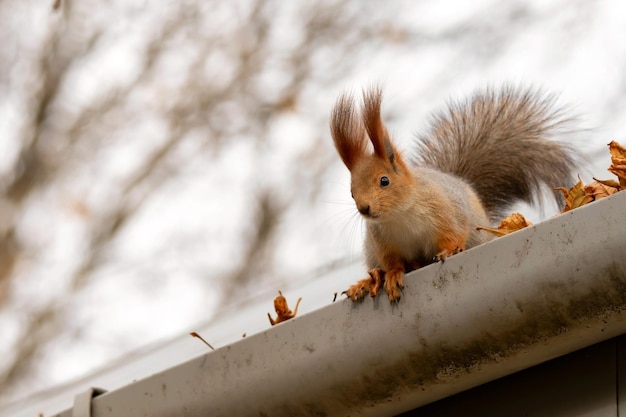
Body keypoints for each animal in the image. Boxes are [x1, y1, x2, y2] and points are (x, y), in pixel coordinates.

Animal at [330, 85, 576, 302]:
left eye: (384, 181)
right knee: (380, 269)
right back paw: (365, 283)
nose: (364, 208)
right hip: (371, 251)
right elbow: (392, 262)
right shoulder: (383, 243)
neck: (399, 216)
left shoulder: (445, 212)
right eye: (351, 193)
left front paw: (447, 252)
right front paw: (392, 275)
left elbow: (453, 234)